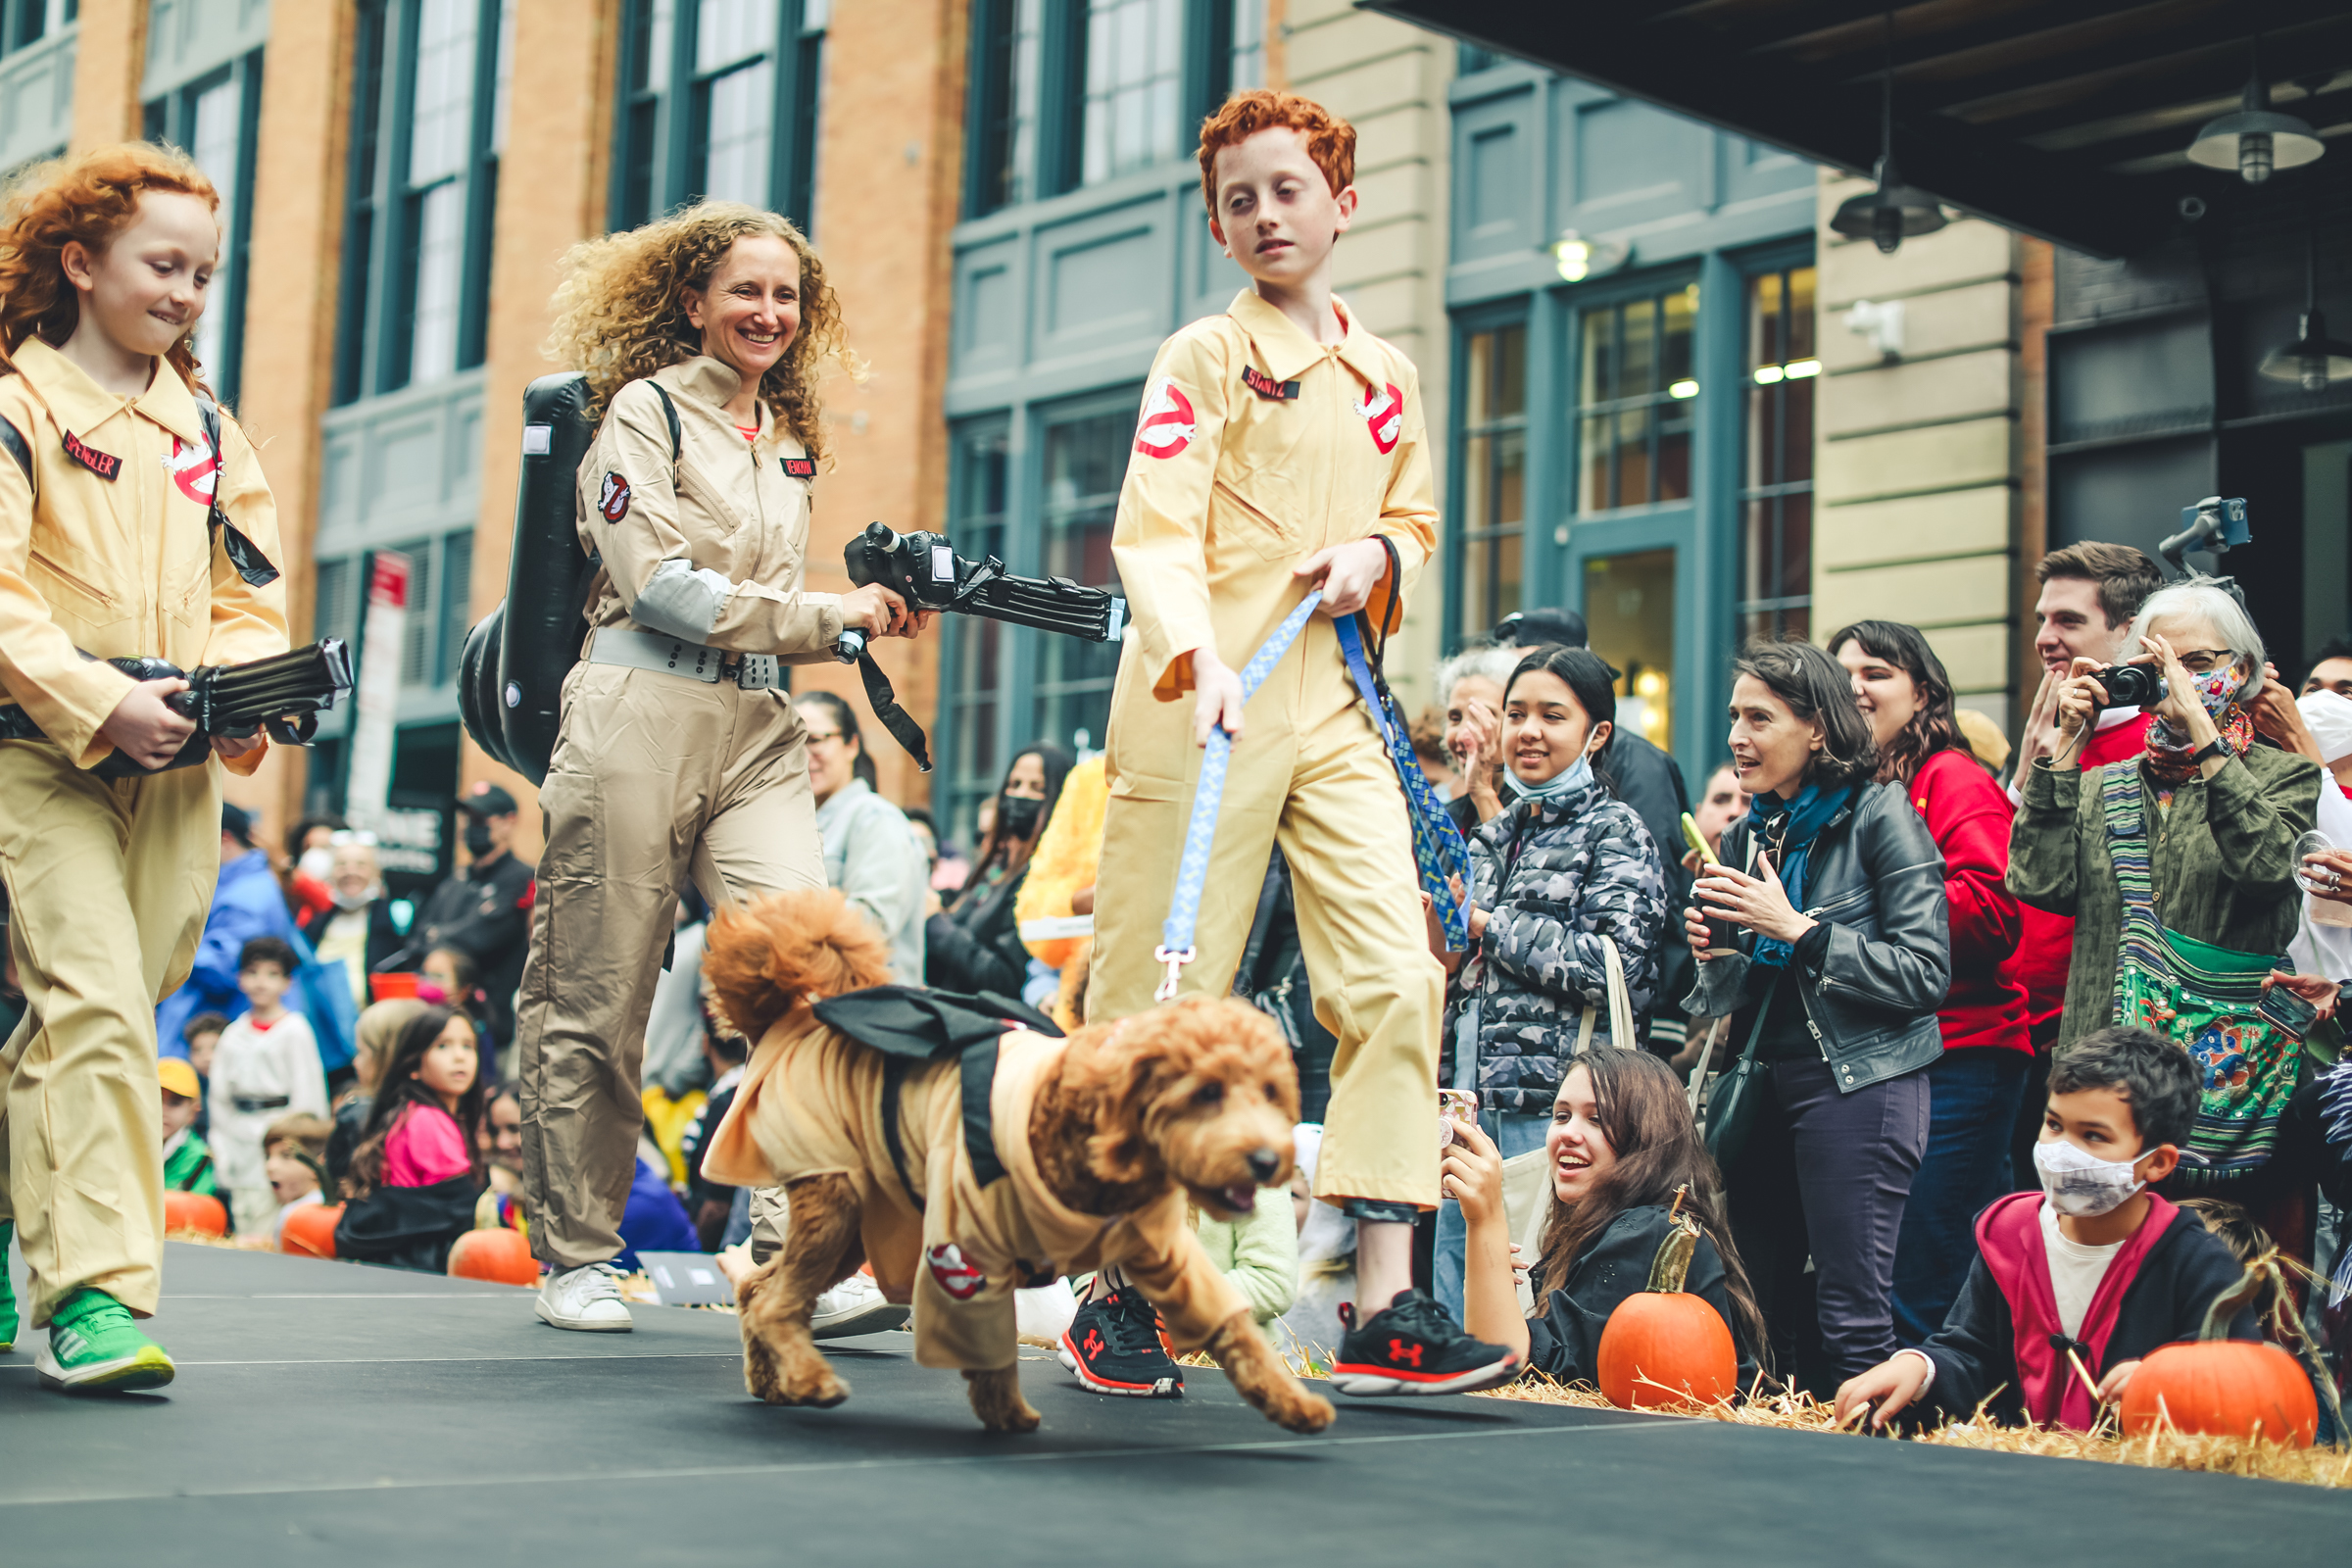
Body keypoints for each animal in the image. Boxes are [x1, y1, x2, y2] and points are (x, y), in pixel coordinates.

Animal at [696, 888, 1336, 1439]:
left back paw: (769, 1380)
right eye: (1206, 1093)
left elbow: (1235, 1328)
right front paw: (1004, 1411)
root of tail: (794, 1026)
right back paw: (808, 1379)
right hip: (836, 1206)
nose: (1268, 1160)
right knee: (773, 1302)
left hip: (853, 1227)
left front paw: (1293, 1402)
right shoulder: (965, 1253)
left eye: (1271, 1092)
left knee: (756, 1290)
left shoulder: (1165, 1255)